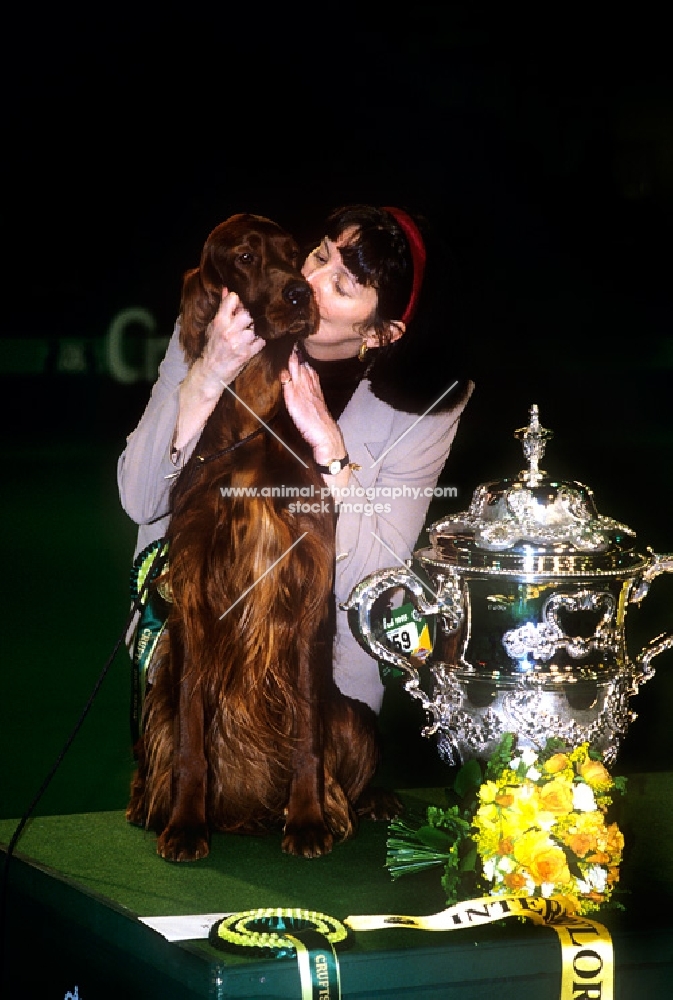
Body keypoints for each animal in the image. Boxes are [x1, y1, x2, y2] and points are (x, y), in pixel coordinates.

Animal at [126, 215, 388, 864]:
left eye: (296, 254)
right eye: (244, 257)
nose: (298, 293)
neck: (255, 422)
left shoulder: (306, 596)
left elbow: (306, 736)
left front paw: (309, 820)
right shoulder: (194, 598)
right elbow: (192, 738)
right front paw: (187, 825)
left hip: (354, 717)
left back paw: (368, 802)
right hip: (155, 699)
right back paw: (149, 802)